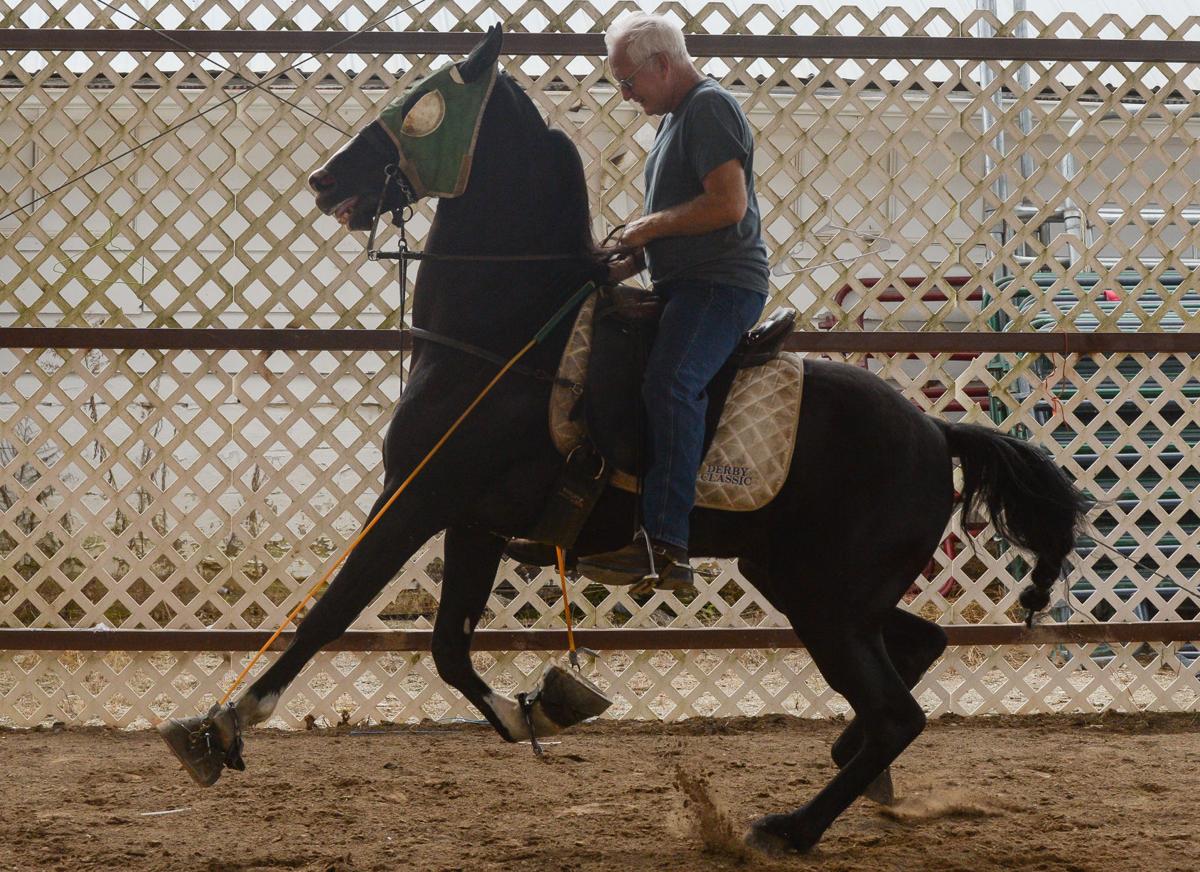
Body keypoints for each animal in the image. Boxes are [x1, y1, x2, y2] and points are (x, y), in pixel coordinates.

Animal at [158, 25, 1089, 854]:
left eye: (421, 106)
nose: (324, 179)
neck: (509, 338)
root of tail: (935, 428)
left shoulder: (416, 498)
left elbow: (333, 613)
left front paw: (221, 726)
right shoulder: (472, 523)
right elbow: (449, 648)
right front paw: (536, 706)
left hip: (825, 600)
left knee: (897, 710)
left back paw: (789, 827)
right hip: (813, 584)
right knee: (917, 655)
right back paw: (847, 766)